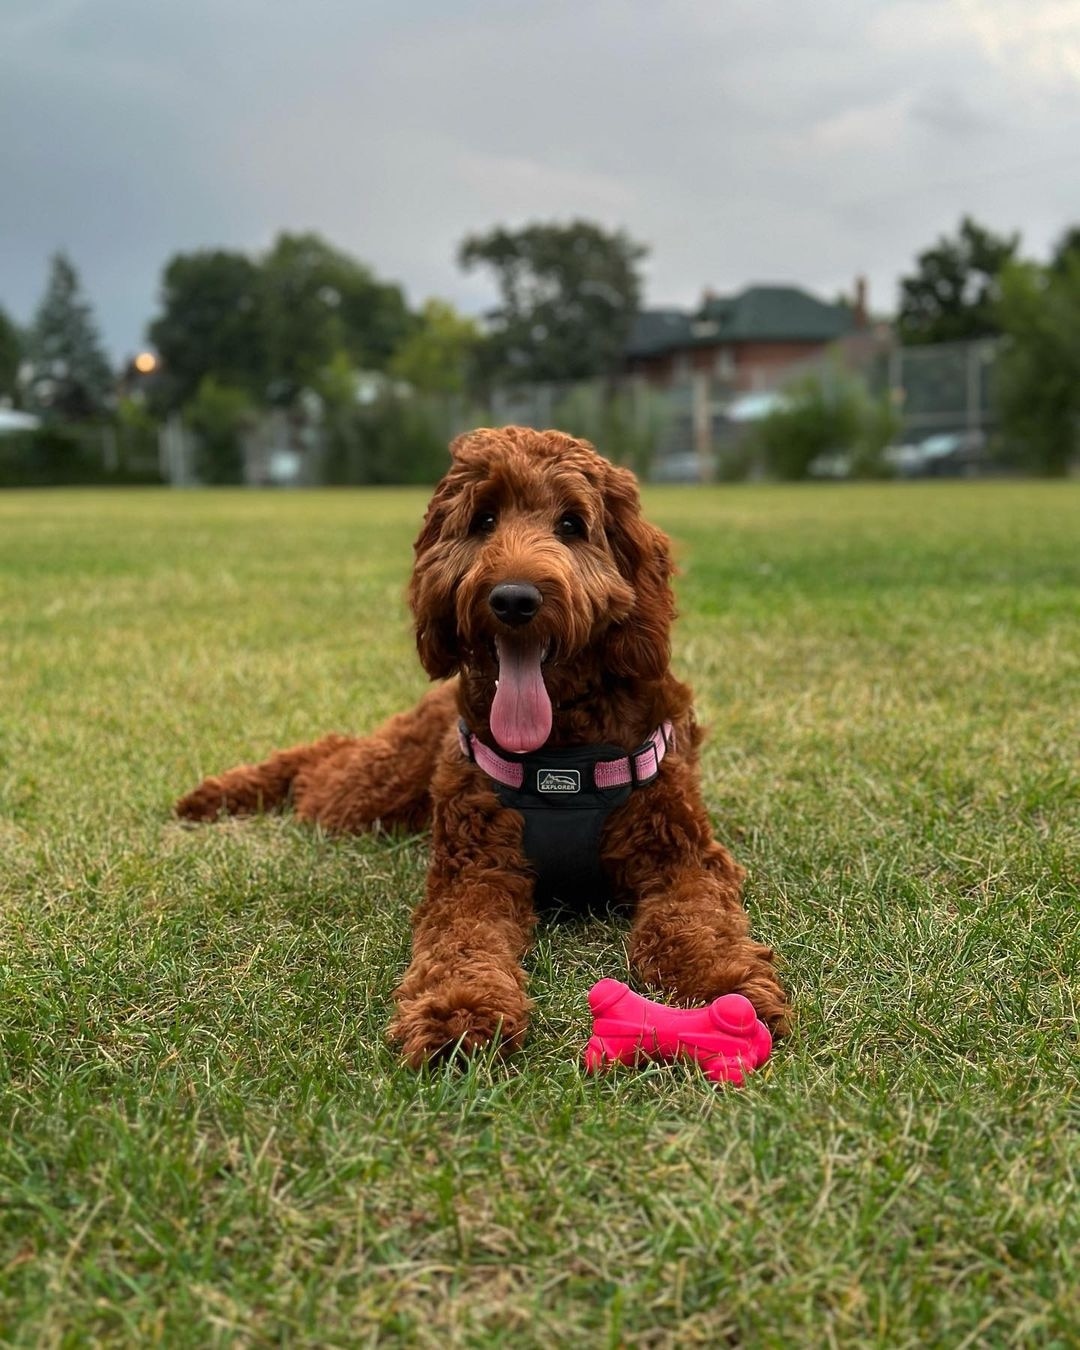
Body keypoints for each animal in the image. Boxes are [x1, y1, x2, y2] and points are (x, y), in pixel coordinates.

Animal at [172, 429, 788, 1063]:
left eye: (572, 524)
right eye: (483, 519)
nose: (513, 599)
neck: (561, 752)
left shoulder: (683, 856)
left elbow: (695, 921)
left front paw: (721, 988)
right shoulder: (475, 872)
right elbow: (462, 940)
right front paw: (459, 1011)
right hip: (365, 796)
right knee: (322, 762)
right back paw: (221, 792)